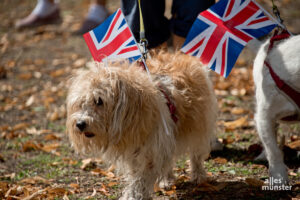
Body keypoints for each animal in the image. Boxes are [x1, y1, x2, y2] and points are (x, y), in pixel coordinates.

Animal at [66, 52, 218, 199]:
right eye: (80, 102)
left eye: (99, 101)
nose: (80, 124)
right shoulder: (137, 153)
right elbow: (136, 175)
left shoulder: (152, 151)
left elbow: (141, 180)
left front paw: (133, 196)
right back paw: (166, 179)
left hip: (199, 125)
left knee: (196, 154)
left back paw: (198, 175)